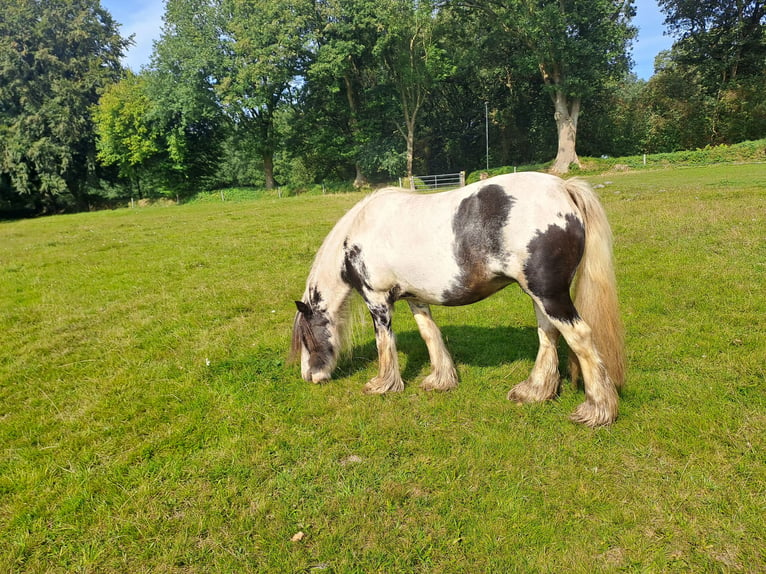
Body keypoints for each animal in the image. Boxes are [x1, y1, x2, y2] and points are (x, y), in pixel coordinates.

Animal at [292, 171, 628, 428]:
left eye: (306, 339)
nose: (309, 377)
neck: (362, 231)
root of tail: (563, 188)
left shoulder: (378, 301)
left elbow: (385, 343)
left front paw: (382, 385)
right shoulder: (415, 298)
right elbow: (430, 334)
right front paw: (440, 380)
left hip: (549, 295)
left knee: (580, 337)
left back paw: (597, 411)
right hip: (540, 295)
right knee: (548, 335)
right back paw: (535, 391)